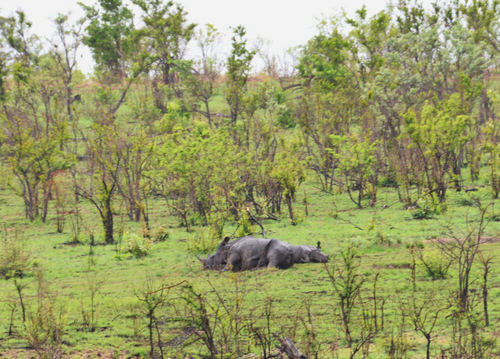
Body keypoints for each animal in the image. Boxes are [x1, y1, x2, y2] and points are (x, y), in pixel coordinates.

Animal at [197, 236, 330, 272]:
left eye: (212, 257)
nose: (206, 267)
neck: (227, 248)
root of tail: (290, 251)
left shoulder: (234, 254)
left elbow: (227, 267)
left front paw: (221, 270)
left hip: (277, 250)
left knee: (271, 262)